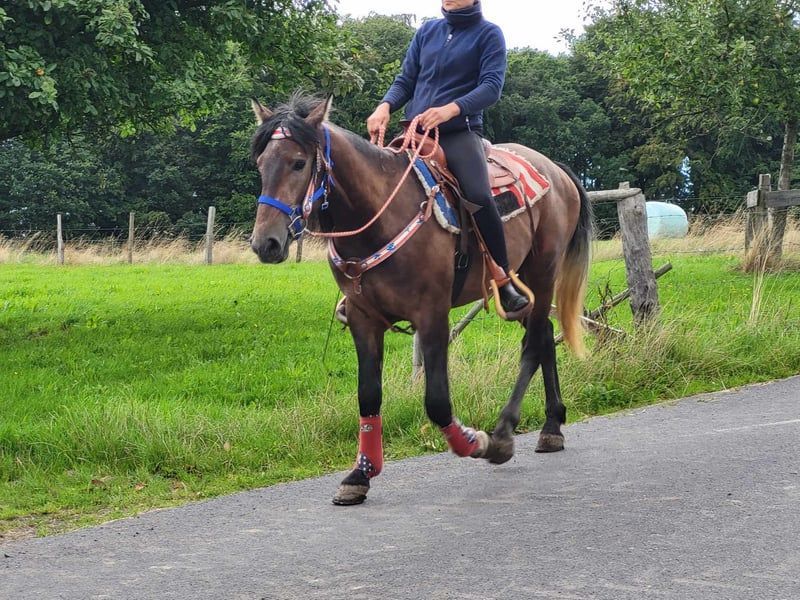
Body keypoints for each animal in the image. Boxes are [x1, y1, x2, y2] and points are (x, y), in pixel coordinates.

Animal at [250, 95, 592, 506]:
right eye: (260, 164)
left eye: (299, 163)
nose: (265, 243)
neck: (380, 216)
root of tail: (555, 170)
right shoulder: (364, 320)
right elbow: (368, 395)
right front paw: (360, 474)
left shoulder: (432, 316)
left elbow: (437, 400)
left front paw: (475, 442)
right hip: (525, 287)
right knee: (544, 338)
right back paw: (552, 425)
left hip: (541, 275)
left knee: (532, 345)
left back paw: (504, 434)